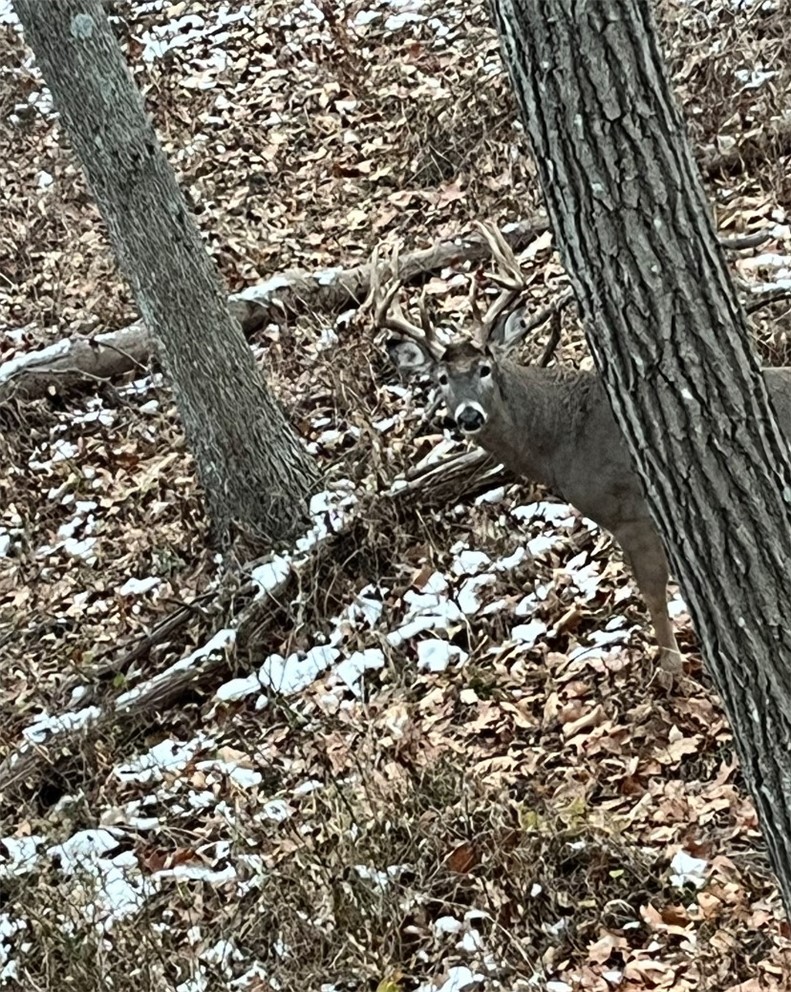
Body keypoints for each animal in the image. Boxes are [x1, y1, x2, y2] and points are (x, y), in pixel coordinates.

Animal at [374, 225, 791, 676]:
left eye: (485, 368)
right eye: (441, 379)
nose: (468, 416)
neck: (564, 437)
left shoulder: (631, 513)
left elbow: (653, 590)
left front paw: (670, 668)